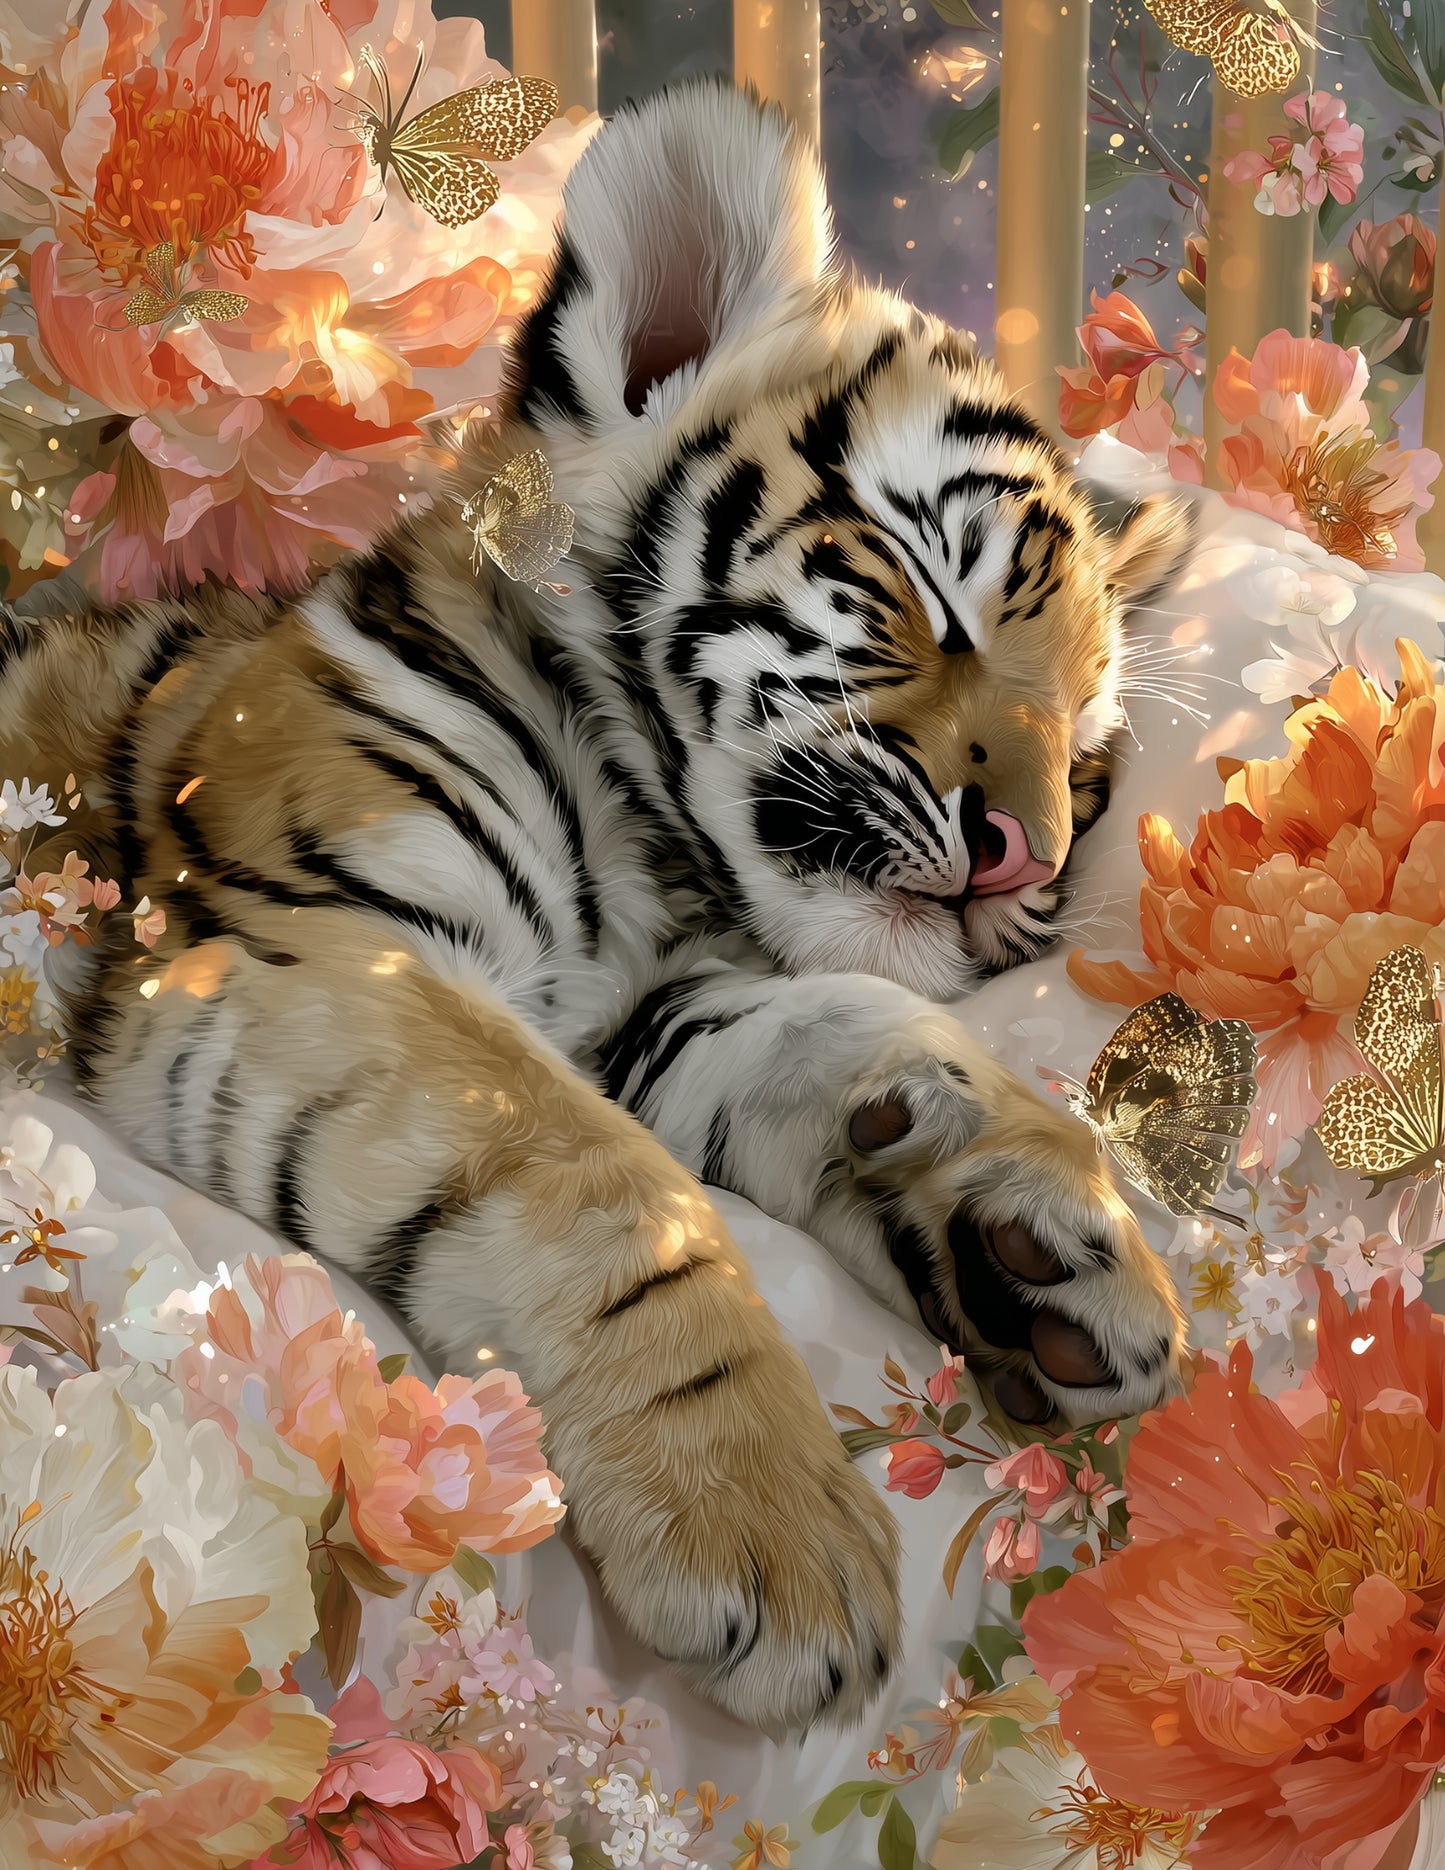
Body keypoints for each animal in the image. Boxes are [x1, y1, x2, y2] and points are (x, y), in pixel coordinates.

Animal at [1, 78, 1193, 1733]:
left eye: (1086, 738)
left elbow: (839, 1019)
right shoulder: (310, 935)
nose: (1029, 851)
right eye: (924, 595)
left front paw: (1036, 1234)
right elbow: (606, 1184)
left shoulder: (646, 1013)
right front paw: (767, 1523)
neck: (655, 845)